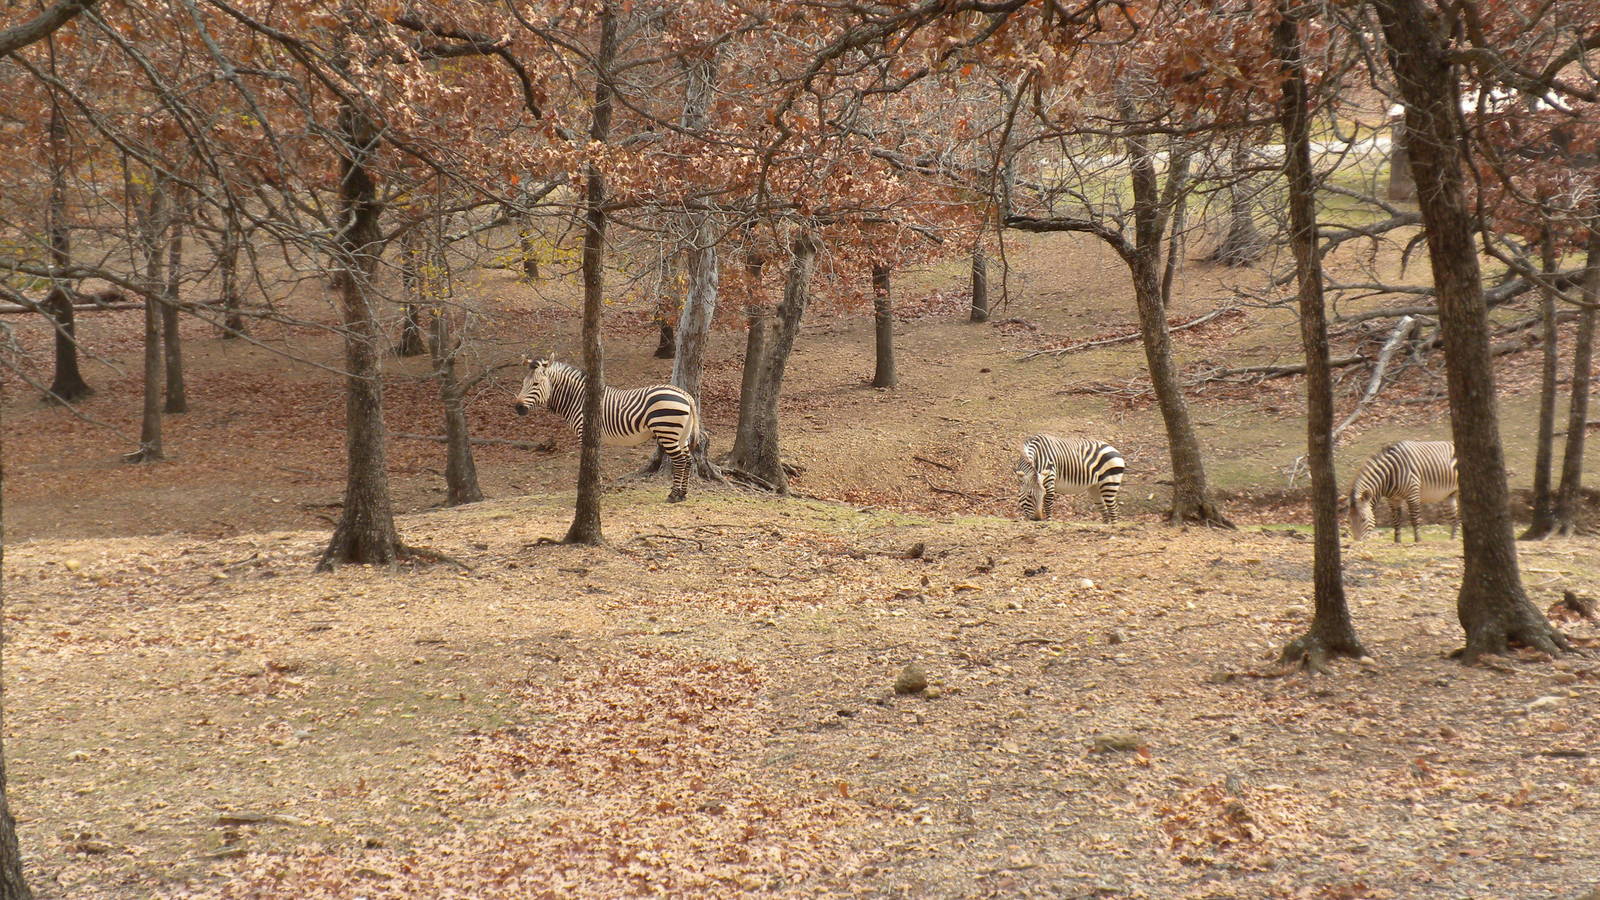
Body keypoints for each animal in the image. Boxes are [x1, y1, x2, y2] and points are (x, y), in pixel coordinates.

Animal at [514, 358, 703, 503]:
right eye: (523, 383)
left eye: (536, 384)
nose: (518, 408)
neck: (579, 399)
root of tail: (685, 395)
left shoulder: (585, 432)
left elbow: (589, 462)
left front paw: (592, 488)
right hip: (681, 435)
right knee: (688, 460)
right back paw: (683, 494)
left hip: (667, 431)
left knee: (680, 461)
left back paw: (673, 495)